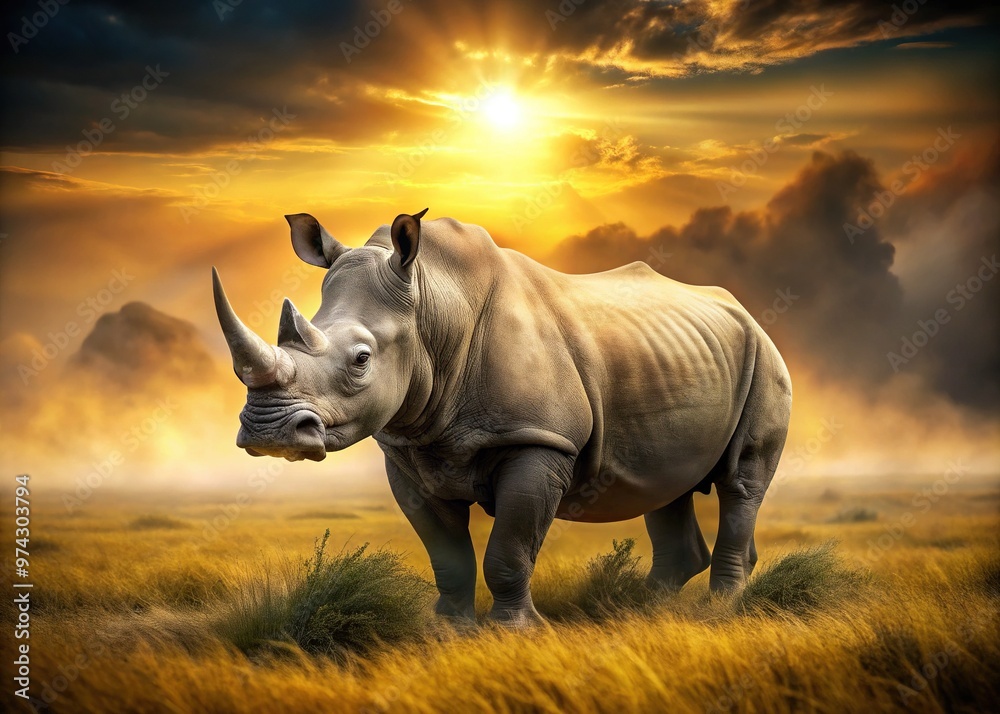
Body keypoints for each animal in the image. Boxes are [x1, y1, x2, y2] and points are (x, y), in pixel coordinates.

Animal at [212, 210, 792, 627]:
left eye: (361, 359)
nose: (268, 431)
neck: (432, 307)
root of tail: (746, 311)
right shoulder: (409, 450)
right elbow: (447, 553)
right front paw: (449, 628)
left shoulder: (540, 440)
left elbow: (509, 547)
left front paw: (513, 631)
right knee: (667, 483)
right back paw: (637, 610)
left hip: (763, 355)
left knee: (740, 482)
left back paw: (718, 610)